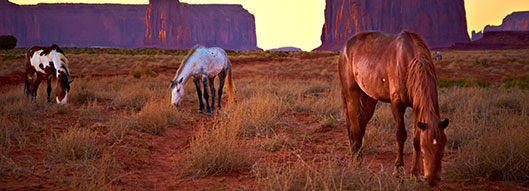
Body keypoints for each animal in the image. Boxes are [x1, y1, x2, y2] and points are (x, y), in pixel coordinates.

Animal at [340, 31, 448, 187]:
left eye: (443, 146)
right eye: (425, 147)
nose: (433, 179)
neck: (409, 62)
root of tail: (345, 48)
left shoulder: (416, 106)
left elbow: (415, 139)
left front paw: (415, 174)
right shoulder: (396, 104)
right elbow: (401, 135)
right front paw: (398, 170)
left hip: (369, 98)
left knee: (361, 125)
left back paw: (359, 158)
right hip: (351, 94)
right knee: (354, 127)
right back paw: (356, 163)